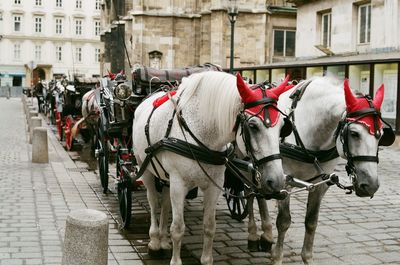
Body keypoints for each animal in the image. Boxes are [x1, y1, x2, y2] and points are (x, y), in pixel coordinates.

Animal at [133, 70, 292, 264]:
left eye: (283, 127)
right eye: (253, 126)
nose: (277, 181)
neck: (202, 132)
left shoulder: (213, 185)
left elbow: (209, 227)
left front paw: (206, 259)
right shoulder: (178, 184)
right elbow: (177, 228)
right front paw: (175, 259)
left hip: (165, 176)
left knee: (164, 202)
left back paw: (163, 240)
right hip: (145, 167)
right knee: (153, 201)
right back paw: (155, 242)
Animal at [245, 76, 396, 264]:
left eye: (381, 135)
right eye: (354, 133)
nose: (371, 186)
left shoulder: (320, 184)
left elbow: (311, 222)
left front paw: (307, 258)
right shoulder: (284, 181)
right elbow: (284, 221)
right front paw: (277, 257)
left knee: (260, 195)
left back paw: (266, 236)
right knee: (250, 195)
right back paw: (252, 235)